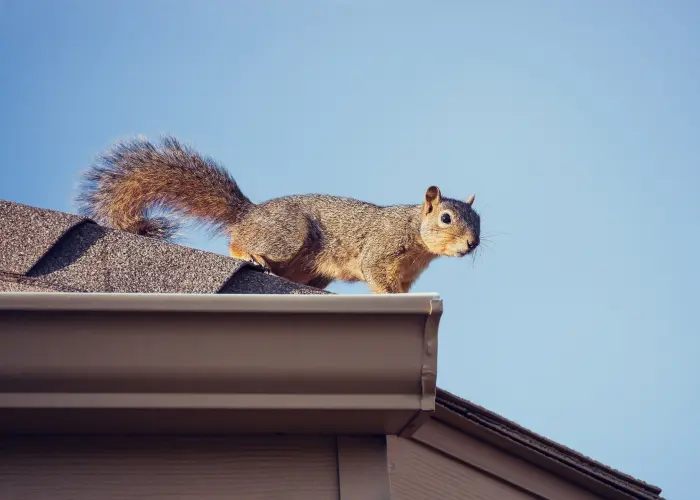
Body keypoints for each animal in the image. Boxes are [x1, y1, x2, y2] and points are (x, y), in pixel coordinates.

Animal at [76, 135, 481, 293]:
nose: (472, 244)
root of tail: (251, 213)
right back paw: (249, 253)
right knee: (237, 241)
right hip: (287, 235)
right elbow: (376, 275)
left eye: (479, 222)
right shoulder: (380, 250)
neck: (415, 234)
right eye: (446, 218)